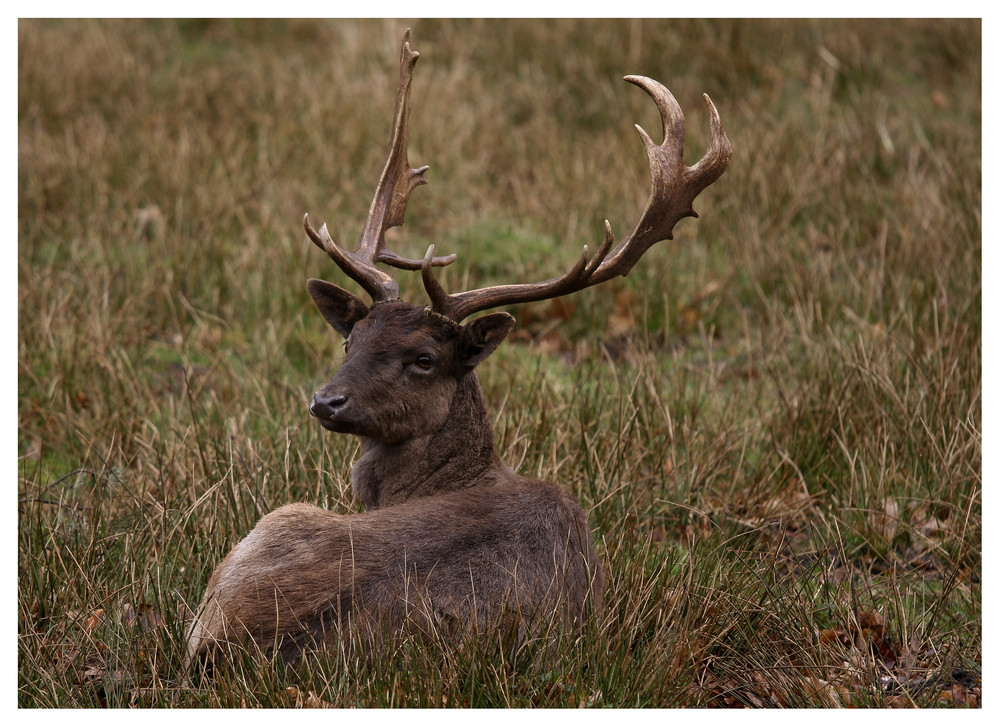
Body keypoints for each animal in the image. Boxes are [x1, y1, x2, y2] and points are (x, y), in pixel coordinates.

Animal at [186, 29, 728, 676]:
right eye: (351, 338)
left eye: (424, 359)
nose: (326, 401)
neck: (455, 476)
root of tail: (228, 641)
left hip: (280, 517)